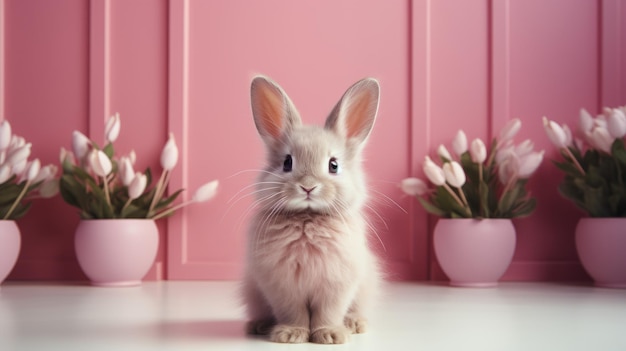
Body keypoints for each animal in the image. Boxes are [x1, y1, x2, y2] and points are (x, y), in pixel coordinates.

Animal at [241, 75, 380, 346]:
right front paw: (291, 334)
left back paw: (354, 324)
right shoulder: (282, 287)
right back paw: (259, 325)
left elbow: (328, 312)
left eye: (333, 165)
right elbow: (293, 312)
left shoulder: (337, 286)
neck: (307, 218)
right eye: (287, 162)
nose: (308, 186)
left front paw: (330, 335)